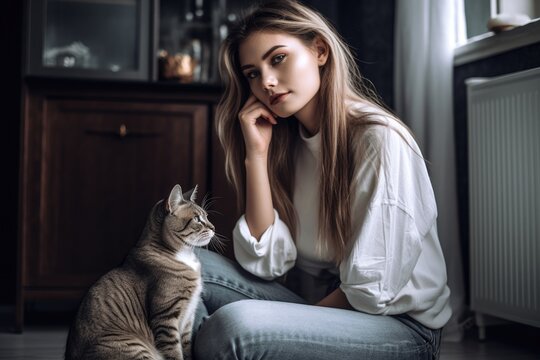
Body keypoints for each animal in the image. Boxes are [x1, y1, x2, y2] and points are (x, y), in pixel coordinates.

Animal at [65, 186, 213, 360]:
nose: (213, 228)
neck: (184, 255)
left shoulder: (188, 319)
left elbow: (187, 349)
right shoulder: (166, 318)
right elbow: (174, 352)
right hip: (133, 346)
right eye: (197, 219)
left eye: (207, 216)